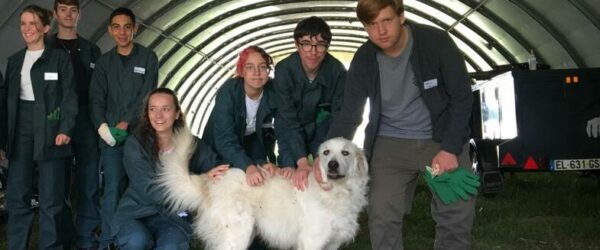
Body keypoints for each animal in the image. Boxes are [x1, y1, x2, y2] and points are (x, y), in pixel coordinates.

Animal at [157, 130, 368, 249]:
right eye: (326, 153)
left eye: (345, 153)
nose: (332, 164)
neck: (336, 193)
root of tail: (210, 182)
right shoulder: (311, 242)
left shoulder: (332, 244)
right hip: (237, 236)